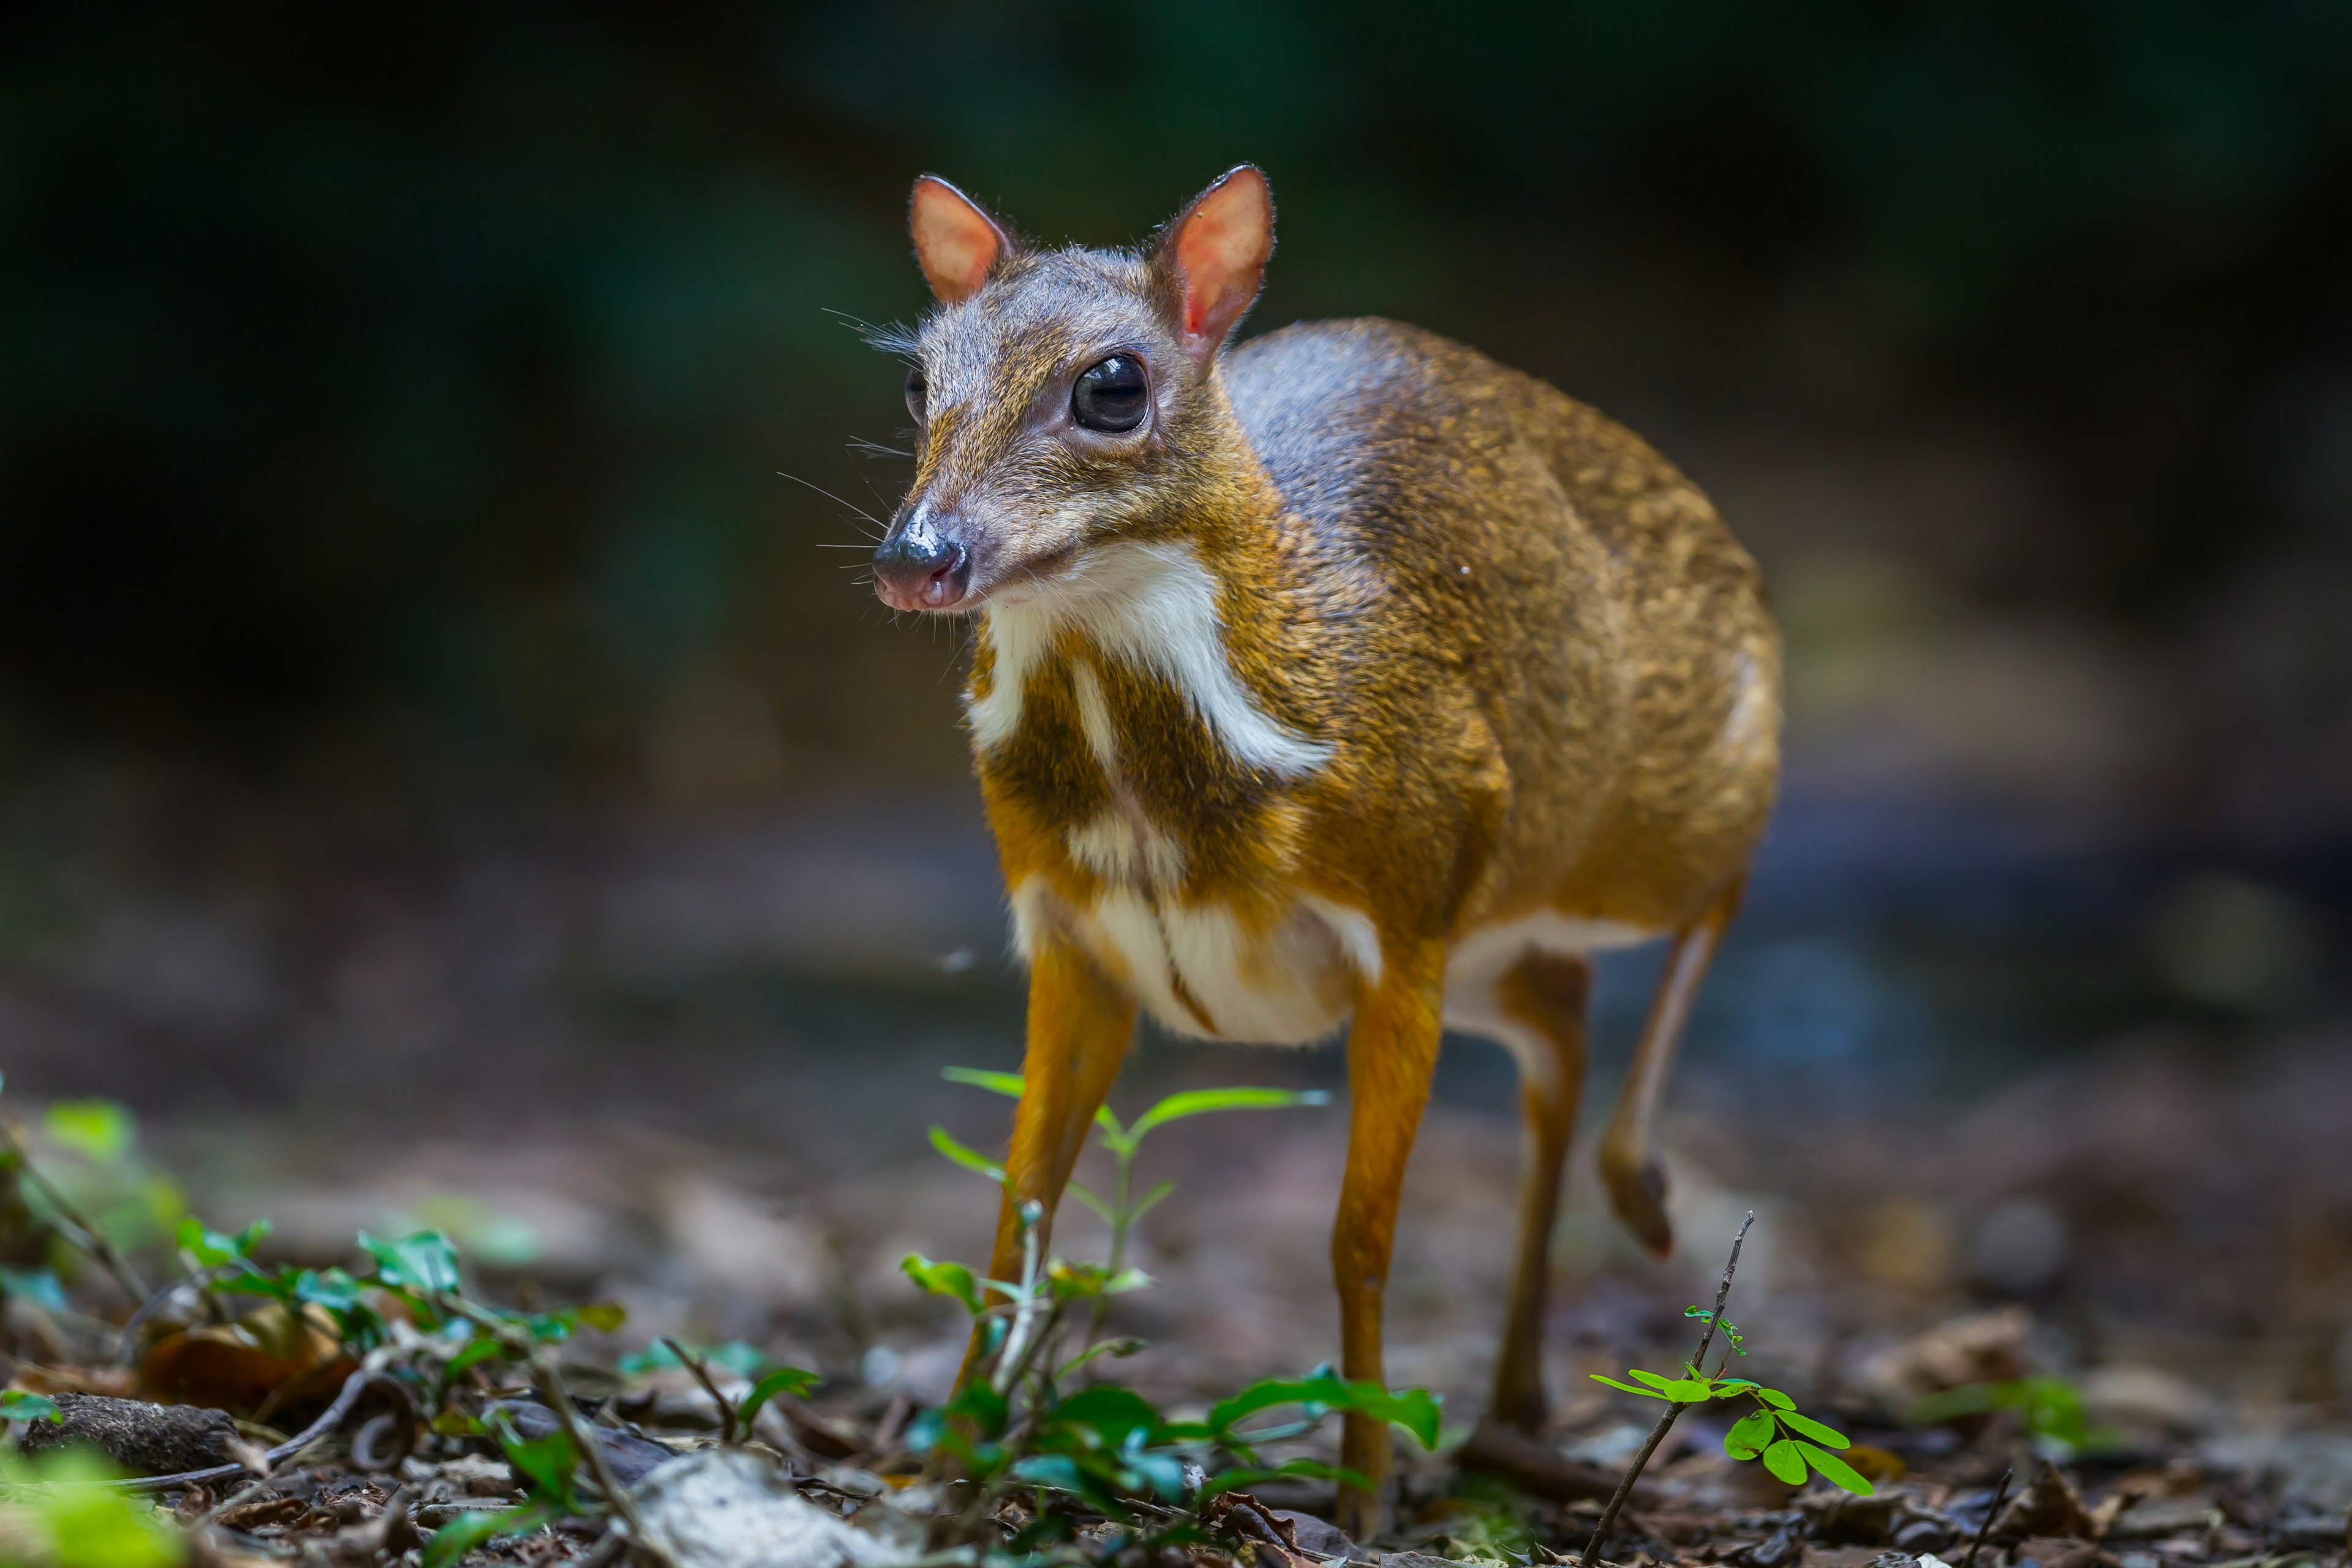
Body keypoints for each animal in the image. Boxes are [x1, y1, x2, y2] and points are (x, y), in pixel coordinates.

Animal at [875, 169, 1768, 1532]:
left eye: (1113, 384)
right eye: (922, 380)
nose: (918, 558)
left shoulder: (1409, 907)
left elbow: (1361, 1234)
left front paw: (1361, 1495)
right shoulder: (1067, 928)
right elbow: (1015, 1219)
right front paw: (945, 1461)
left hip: (1654, 812)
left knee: (1722, 883)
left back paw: (1643, 1197)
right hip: (1494, 938)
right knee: (1562, 1015)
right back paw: (1520, 1396)